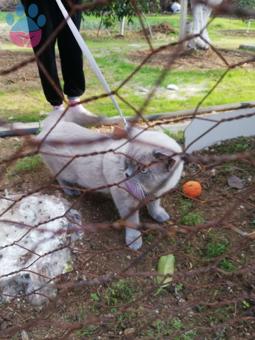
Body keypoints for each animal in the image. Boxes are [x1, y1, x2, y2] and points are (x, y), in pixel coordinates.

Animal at [36, 111, 183, 250]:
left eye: (142, 170)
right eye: (127, 162)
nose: (126, 174)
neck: (149, 187)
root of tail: (52, 126)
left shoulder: (156, 194)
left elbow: (154, 206)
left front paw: (159, 216)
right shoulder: (125, 201)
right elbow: (133, 222)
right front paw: (134, 241)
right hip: (65, 173)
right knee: (61, 180)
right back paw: (72, 192)